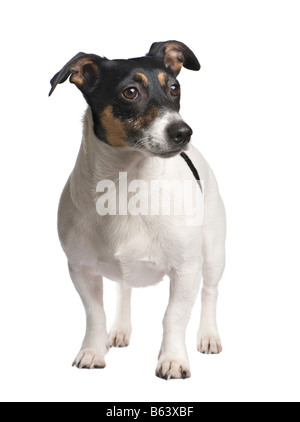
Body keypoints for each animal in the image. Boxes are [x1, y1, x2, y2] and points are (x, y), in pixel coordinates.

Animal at [49, 42, 225, 380]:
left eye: (174, 87)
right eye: (130, 92)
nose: (183, 132)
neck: (127, 184)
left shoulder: (186, 270)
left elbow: (174, 316)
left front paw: (173, 360)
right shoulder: (80, 269)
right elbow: (95, 313)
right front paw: (93, 350)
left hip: (212, 254)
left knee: (210, 293)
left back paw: (208, 336)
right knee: (123, 289)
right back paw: (119, 331)